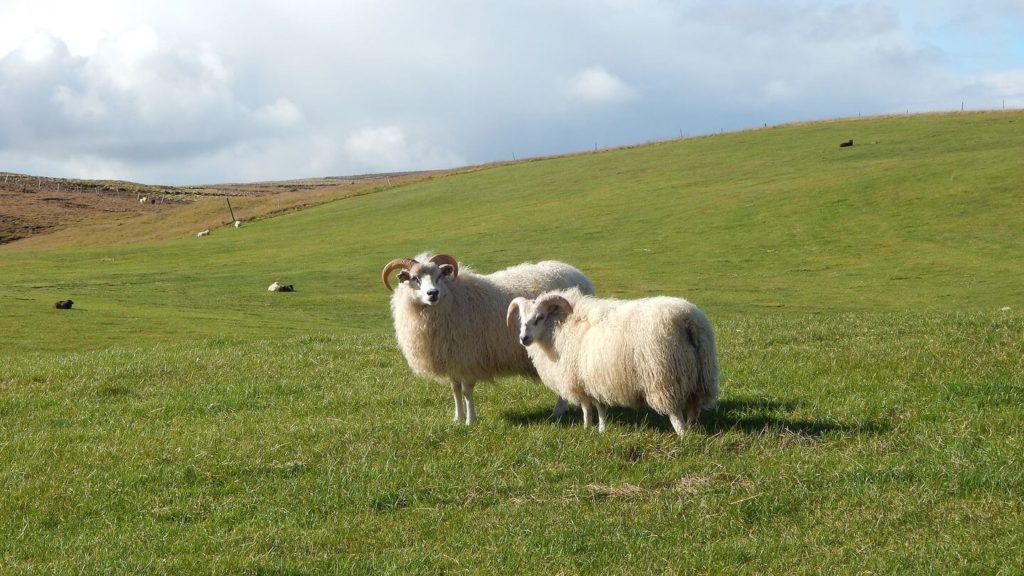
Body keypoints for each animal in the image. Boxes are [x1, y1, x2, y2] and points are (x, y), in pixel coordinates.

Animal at [382, 253, 594, 424]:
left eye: (439, 276)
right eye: (414, 278)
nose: (432, 293)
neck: (452, 298)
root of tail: (578, 274)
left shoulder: (468, 358)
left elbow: (467, 392)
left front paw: (470, 420)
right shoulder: (453, 359)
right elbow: (455, 390)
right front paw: (457, 418)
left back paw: (558, 412)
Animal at [507, 288, 719, 436]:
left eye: (540, 317)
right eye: (521, 318)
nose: (524, 338)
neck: (562, 327)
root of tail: (687, 320)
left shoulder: (580, 379)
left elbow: (587, 408)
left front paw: (587, 428)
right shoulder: (596, 381)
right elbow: (600, 407)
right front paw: (601, 430)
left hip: (663, 378)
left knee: (674, 412)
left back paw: (683, 435)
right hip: (702, 375)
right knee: (695, 407)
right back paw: (693, 429)